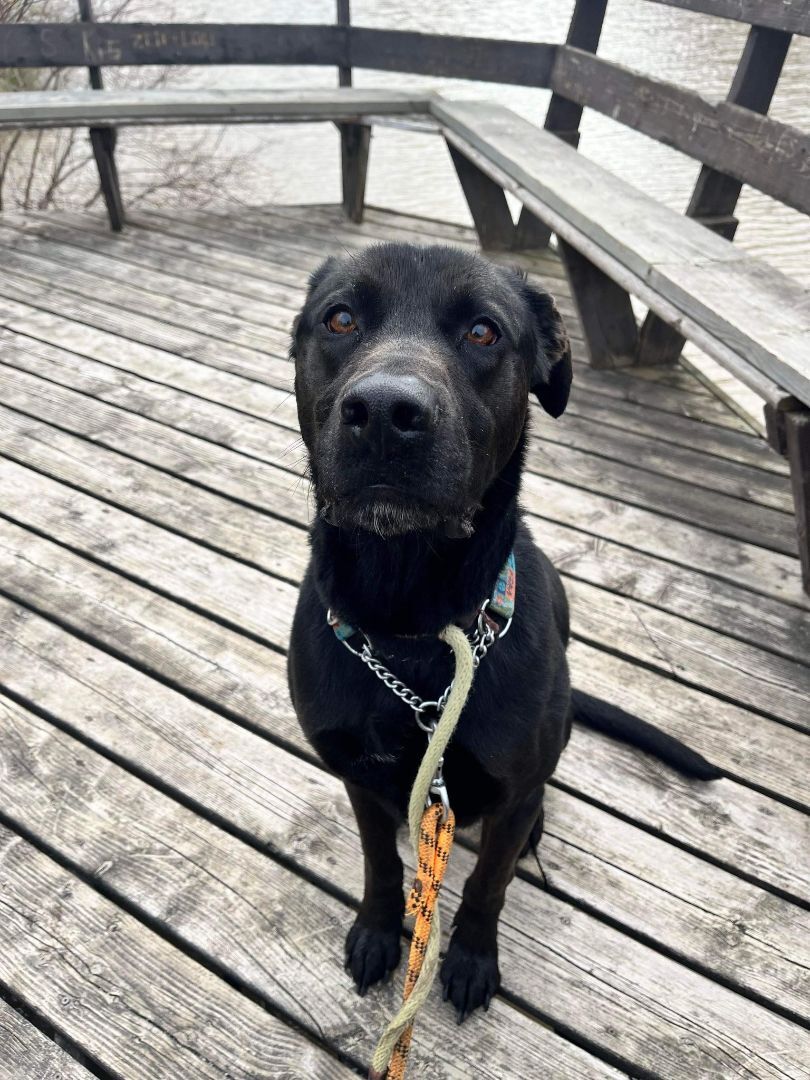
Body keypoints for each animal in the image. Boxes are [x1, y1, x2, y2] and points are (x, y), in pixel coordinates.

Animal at [289, 243, 721, 1019]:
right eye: (339, 318)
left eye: (483, 332)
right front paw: (378, 930)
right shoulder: (357, 775)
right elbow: (377, 859)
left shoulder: (516, 795)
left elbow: (487, 885)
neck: (412, 632)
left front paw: (469, 958)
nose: (385, 413)